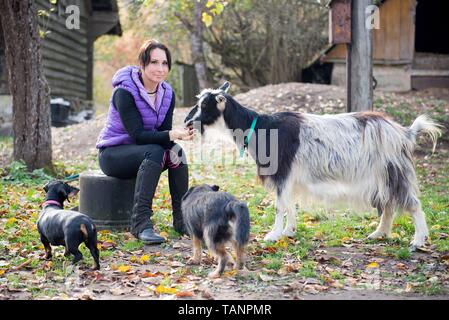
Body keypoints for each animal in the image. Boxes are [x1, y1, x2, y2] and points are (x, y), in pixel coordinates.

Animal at [185, 81, 440, 249]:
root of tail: (405, 132)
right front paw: (289, 231)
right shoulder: (291, 177)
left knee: (412, 203)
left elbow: (279, 205)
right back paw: (379, 234)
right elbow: (290, 204)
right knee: (388, 204)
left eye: (205, 105)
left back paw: (418, 240)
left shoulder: (282, 171)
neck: (261, 128)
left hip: (394, 170)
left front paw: (273, 235)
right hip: (382, 175)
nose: (187, 121)